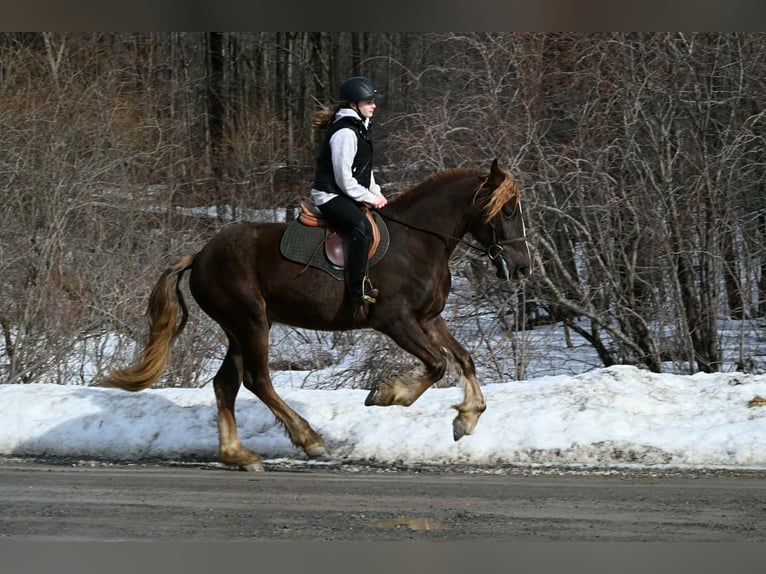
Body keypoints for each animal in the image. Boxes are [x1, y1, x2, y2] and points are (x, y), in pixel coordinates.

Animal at [103, 159, 532, 471]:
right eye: (508, 210)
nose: (523, 266)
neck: (418, 241)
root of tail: (200, 255)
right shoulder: (394, 321)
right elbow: (437, 364)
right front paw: (387, 394)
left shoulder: (428, 318)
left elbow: (462, 359)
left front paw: (467, 418)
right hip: (251, 322)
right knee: (257, 380)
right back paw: (310, 440)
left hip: (238, 329)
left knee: (226, 384)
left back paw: (238, 455)